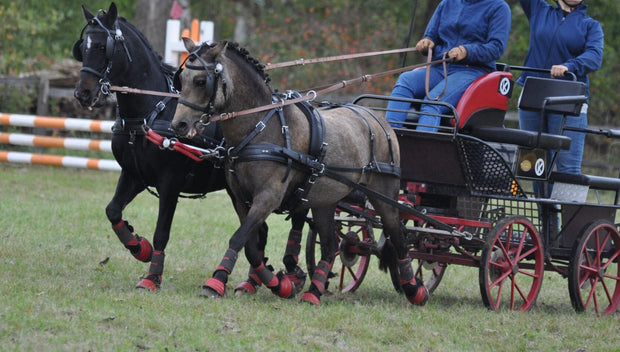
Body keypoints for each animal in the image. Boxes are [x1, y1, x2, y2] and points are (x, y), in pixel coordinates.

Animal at [74, 3, 306, 294]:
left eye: (102, 47)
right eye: (82, 47)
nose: (82, 93)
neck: (151, 111)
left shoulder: (169, 183)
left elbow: (162, 232)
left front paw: (152, 277)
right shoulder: (134, 175)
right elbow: (113, 211)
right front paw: (139, 248)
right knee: (258, 232)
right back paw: (253, 281)